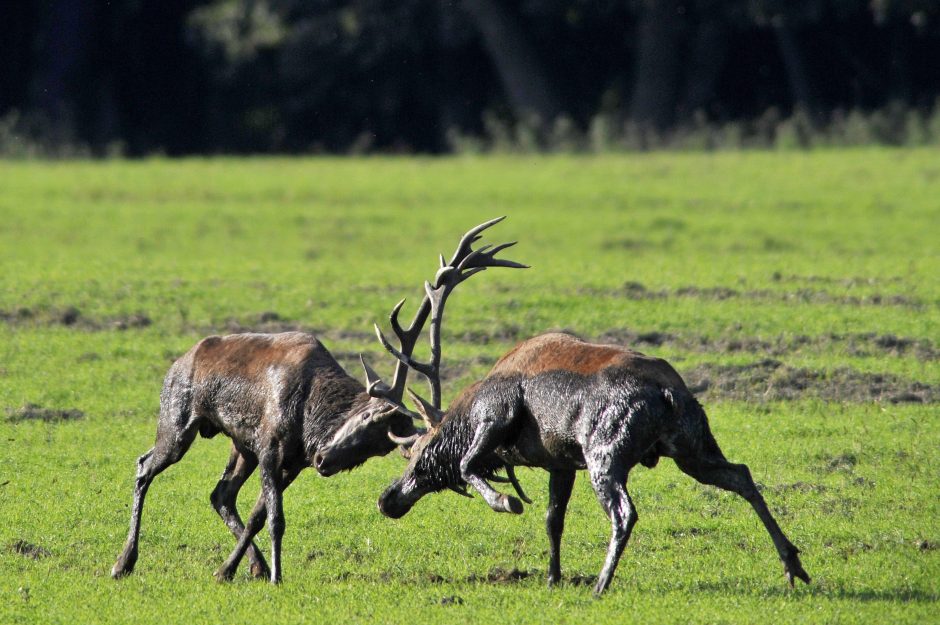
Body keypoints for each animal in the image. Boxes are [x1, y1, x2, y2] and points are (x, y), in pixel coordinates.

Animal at [110, 217, 528, 584]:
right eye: (368, 420)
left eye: (378, 449)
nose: (324, 461)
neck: (308, 414)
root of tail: (178, 361)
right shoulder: (270, 444)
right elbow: (275, 517)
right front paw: (276, 575)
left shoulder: (290, 460)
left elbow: (260, 515)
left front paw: (232, 570)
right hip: (179, 418)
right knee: (145, 466)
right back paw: (123, 562)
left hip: (238, 443)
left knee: (220, 493)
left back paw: (246, 566)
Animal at [364, 272, 812, 596]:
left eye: (415, 452)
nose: (387, 499)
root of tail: (670, 394)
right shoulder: (560, 461)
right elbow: (553, 519)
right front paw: (552, 577)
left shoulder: (496, 414)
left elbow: (468, 463)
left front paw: (507, 501)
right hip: (693, 447)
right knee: (741, 474)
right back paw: (793, 565)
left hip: (606, 451)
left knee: (625, 511)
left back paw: (601, 583)